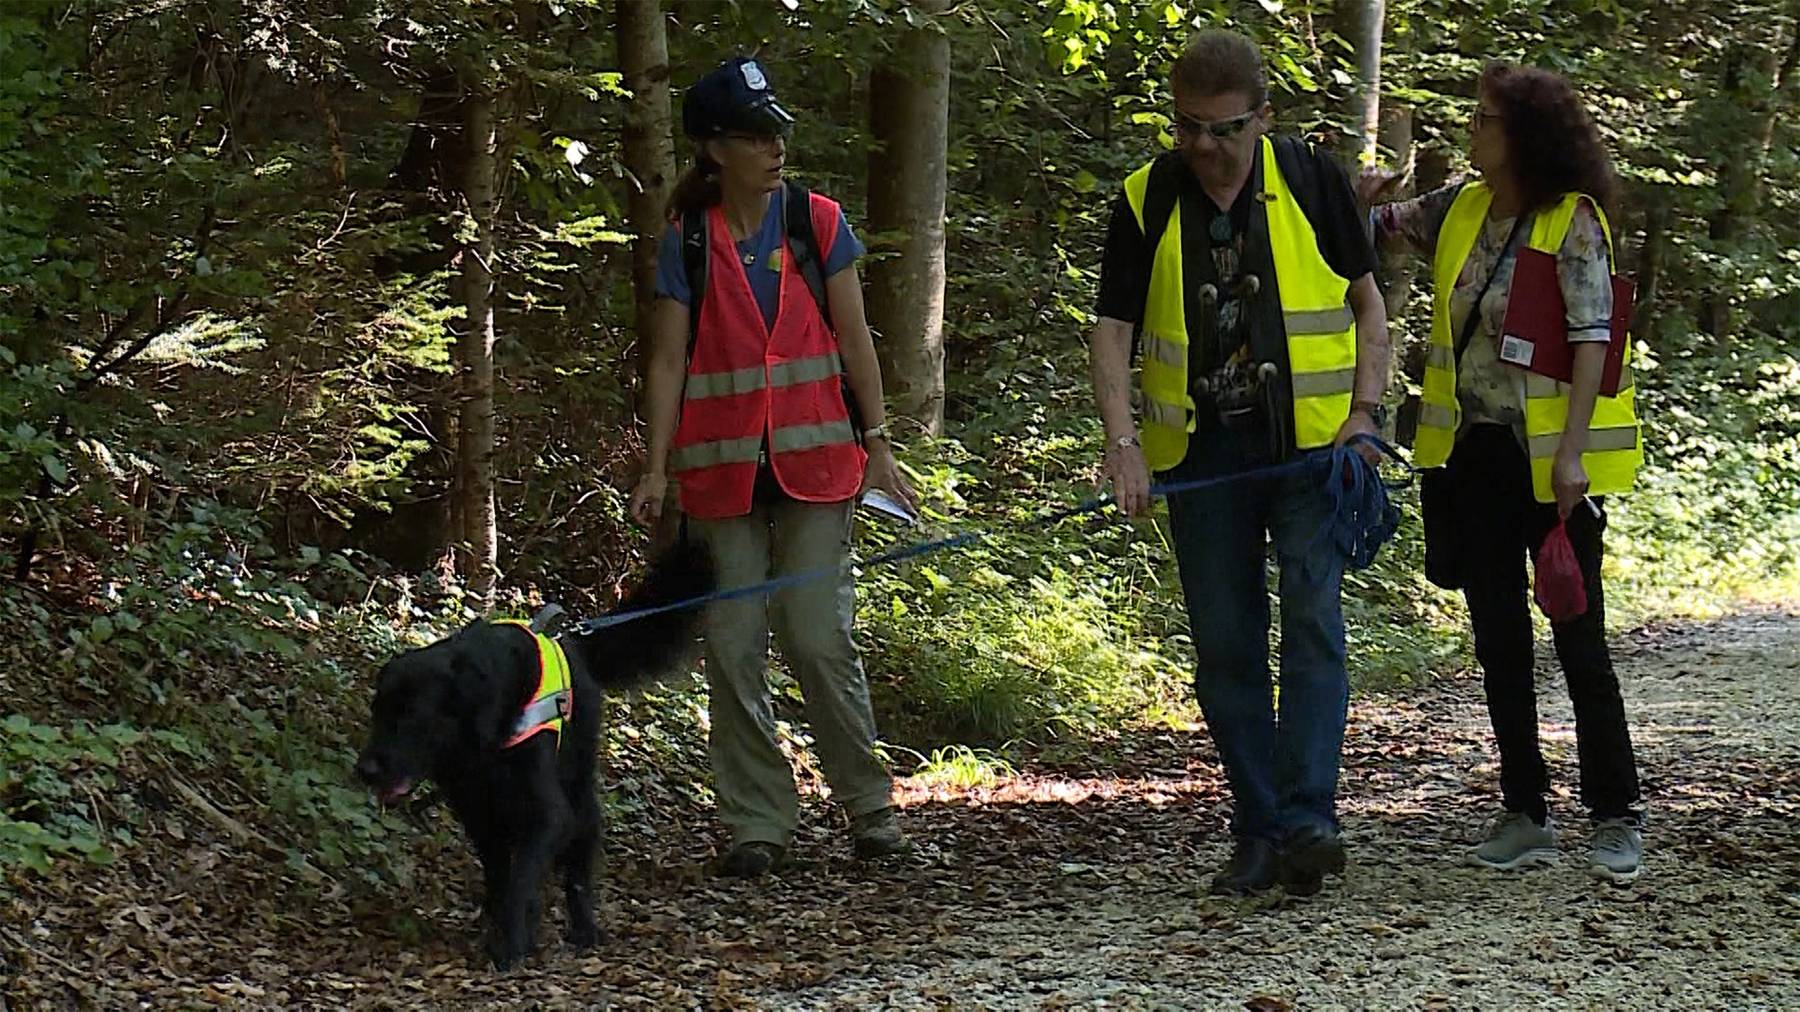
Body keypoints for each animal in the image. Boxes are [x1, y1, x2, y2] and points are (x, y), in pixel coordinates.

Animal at [354, 540, 712, 965]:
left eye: (411, 717)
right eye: (377, 711)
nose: (365, 770)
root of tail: (572, 642)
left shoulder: (545, 812)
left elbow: (523, 876)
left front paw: (511, 942)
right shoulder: (478, 811)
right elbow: (500, 874)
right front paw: (497, 925)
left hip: (578, 790)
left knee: (578, 864)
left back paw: (584, 927)